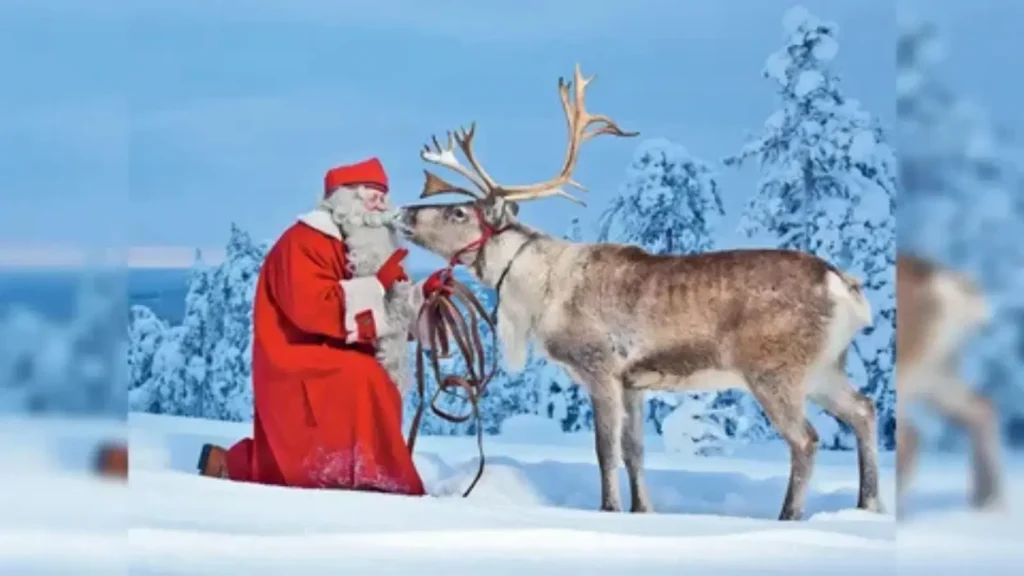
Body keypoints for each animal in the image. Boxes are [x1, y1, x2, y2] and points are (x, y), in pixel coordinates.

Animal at [399, 64, 881, 521]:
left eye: (459, 212)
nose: (405, 212)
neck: (540, 292)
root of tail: (845, 288)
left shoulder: (600, 367)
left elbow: (605, 450)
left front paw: (609, 510)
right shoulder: (634, 382)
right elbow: (635, 451)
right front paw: (644, 511)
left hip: (775, 371)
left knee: (807, 439)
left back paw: (790, 516)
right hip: (824, 368)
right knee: (865, 409)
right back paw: (868, 507)